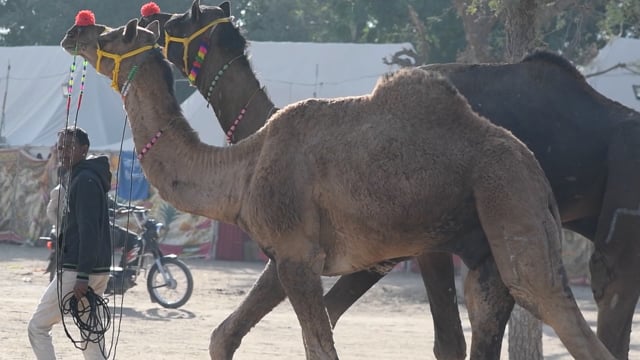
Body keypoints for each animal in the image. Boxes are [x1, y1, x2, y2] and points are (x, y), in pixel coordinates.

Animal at [60, 16, 616, 360]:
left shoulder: (297, 255)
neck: (243, 167)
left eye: (115, 34)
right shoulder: (285, 256)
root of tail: (532, 167)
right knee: (488, 310)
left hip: (509, 201)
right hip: (484, 245)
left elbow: (319, 346)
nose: (76, 28)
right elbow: (222, 336)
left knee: (556, 308)